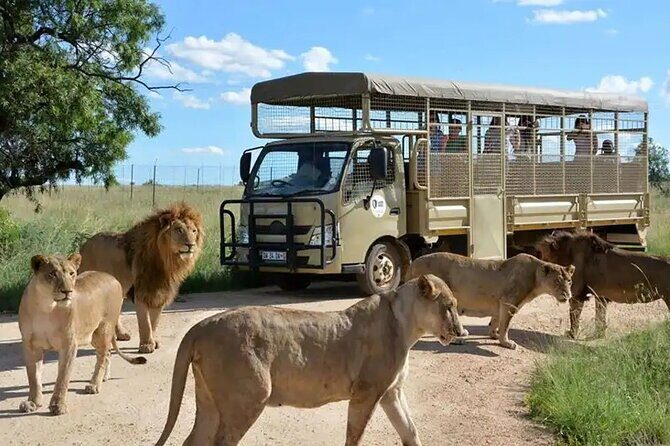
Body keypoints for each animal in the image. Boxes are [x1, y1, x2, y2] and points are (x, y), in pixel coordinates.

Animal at [18, 254, 146, 415]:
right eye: (52, 274)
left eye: (72, 273)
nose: (67, 291)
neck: (46, 306)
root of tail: (112, 277)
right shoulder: (30, 345)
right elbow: (33, 376)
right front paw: (32, 403)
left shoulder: (69, 345)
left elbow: (63, 377)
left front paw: (58, 405)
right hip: (93, 336)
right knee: (107, 354)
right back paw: (104, 378)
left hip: (103, 330)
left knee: (102, 357)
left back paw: (94, 385)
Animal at [79, 202, 204, 353]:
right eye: (179, 230)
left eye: (194, 231)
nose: (191, 245)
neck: (166, 262)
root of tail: (84, 244)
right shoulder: (141, 291)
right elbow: (145, 322)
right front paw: (146, 345)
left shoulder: (160, 292)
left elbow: (154, 322)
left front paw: (153, 342)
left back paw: (121, 334)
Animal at [155, 274, 463, 446]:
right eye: (449, 307)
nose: (461, 332)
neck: (407, 326)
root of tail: (201, 326)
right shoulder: (366, 392)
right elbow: (354, 436)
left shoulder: (391, 392)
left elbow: (411, 432)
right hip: (249, 397)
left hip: (209, 401)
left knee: (194, 441)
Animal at [406, 252, 575, 349]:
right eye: (557, 282)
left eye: (569, 281)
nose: (568, 295)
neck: (535, 277)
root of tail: (413, 263)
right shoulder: (509, 302)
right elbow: (506, 325)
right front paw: (506, 342)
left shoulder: (500, 303)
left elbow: (496, 320)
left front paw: (494, 334)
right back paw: (458, 339)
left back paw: (463, 333)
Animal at [536, 230, 670, 338]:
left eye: (544, 255)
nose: (539, 268)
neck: (568, 254)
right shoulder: (601, 296)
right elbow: (600, 316)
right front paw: (598, 334)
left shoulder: (577, 294)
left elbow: (574, 316)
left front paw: (572, 334)